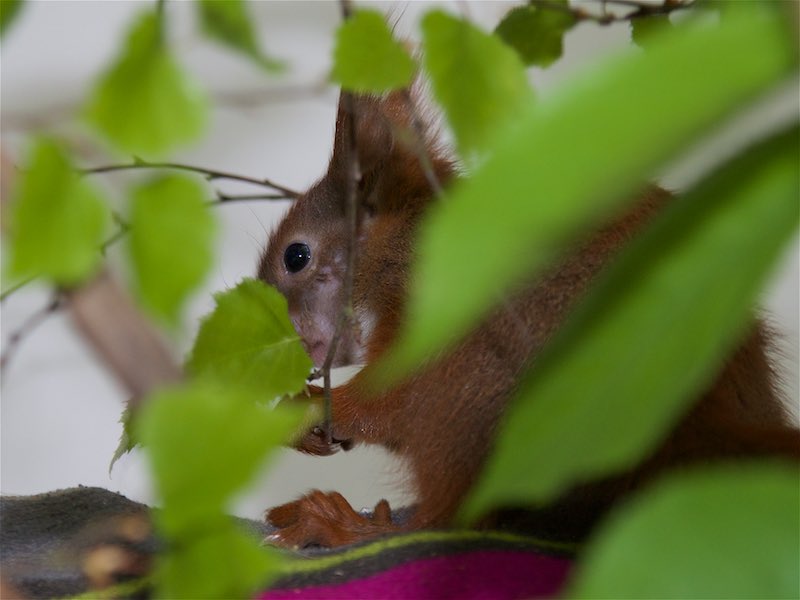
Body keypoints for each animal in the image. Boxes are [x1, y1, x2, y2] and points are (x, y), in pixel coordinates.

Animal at [260, 92, 800, 548]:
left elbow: (386, 399)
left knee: (447, 523)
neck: (401, 254)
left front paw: (307, 408)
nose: (277, 341)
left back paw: (343, 526)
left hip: (463, 393)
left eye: (296, 256)